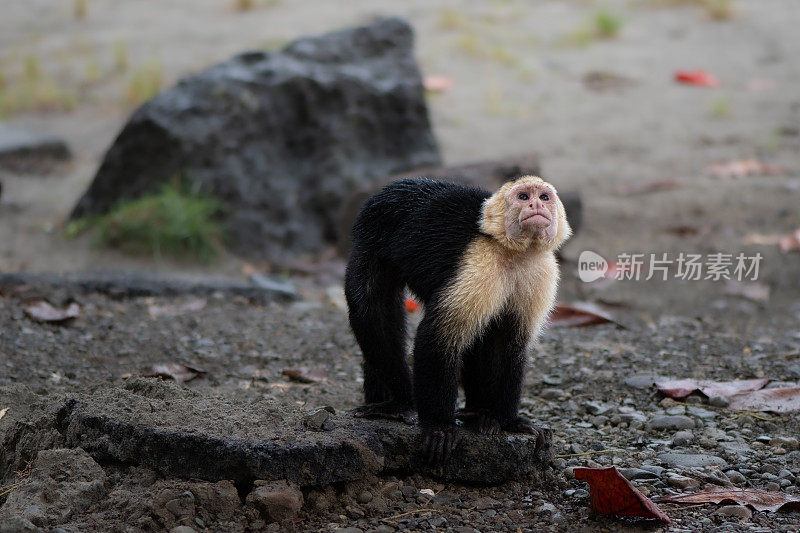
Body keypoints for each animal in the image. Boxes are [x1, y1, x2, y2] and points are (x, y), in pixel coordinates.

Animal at [344, 177, 568, 464]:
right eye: (523, 196)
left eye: (544, 197)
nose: (536, 205)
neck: (514, 252)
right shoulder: (479, 262)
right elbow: (437, 336)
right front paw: (439, 425)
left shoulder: (541, 271)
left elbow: (509, 343)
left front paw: (508, 420)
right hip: (370, 241)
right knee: (372, 314)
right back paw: (400, 402)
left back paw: (479, 413)